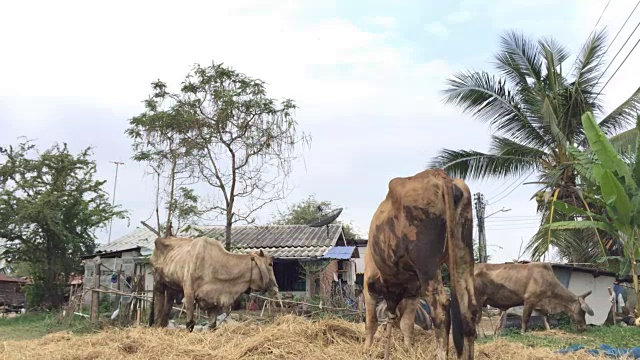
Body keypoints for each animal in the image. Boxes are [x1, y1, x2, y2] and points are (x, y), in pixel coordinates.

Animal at [151, 236, 282, 332]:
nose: (276, 288)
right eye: (270, 264)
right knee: (158, 309)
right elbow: (190, 324)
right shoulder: (189, 292)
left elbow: (213, 325)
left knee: (167, 310)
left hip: (172, 288)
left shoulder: (213, 300)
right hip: (158, 284)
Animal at [362, 169, 478, 360]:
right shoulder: (413, 292)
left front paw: (367, 350)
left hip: (427, 264)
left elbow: (371, 322)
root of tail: (439, 175)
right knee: (469, 307)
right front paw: (407, 350)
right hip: (463, 255)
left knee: (441, 308)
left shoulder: (369, 284)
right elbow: (406, 324)